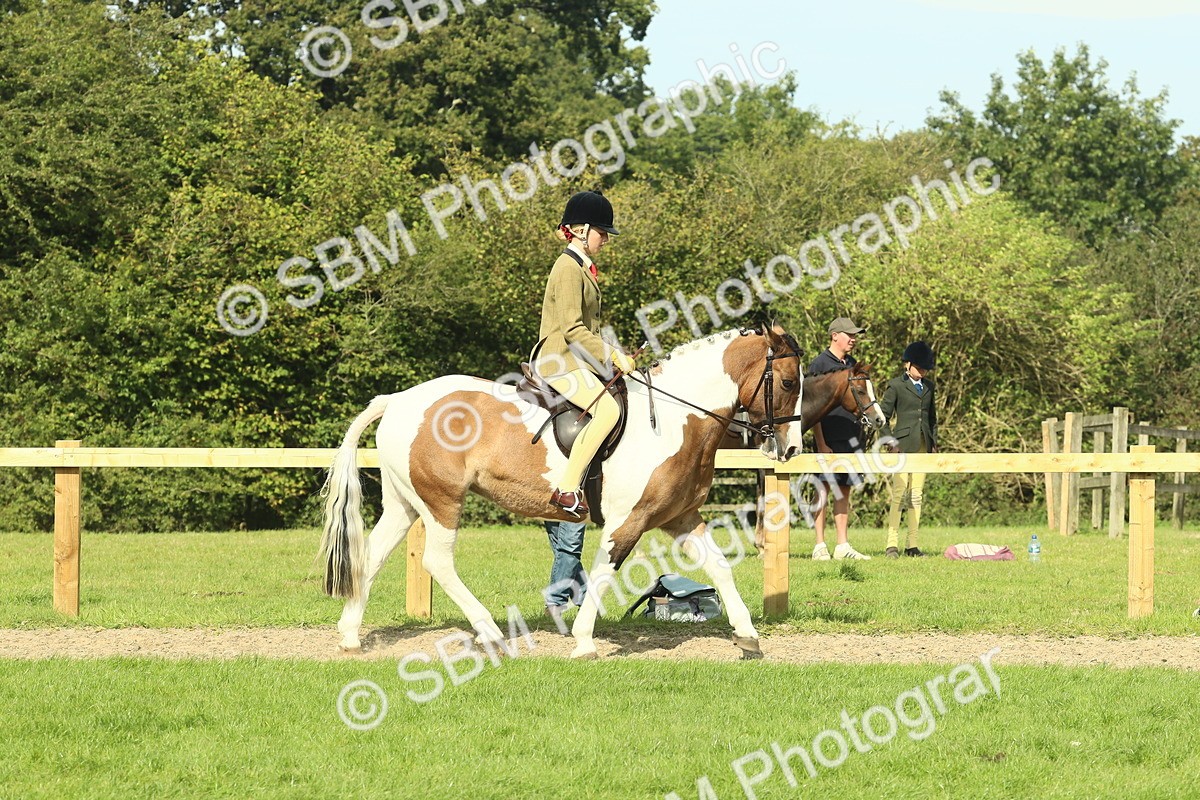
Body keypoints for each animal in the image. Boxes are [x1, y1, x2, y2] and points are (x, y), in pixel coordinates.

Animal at [318, 325, 805, 660]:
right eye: (787, 383)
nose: (791, 449)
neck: (674, 419)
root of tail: (399, 399)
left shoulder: (679, 518)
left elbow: (720, 568)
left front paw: (748, 637)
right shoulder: (628, 521)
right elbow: (606, 572)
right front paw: (584, 641)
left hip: (405, 503)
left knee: (372, 555)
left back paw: (350, 636)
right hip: (441, 502)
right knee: (438, 561)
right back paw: (491, 633)